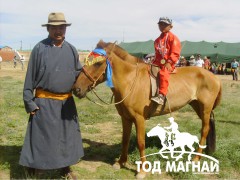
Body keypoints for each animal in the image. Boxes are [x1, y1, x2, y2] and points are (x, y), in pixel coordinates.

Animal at [72, 40, 221, 178]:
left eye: (98, 63)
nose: (76, 89)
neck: (130, 81)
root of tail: (214, 77)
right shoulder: (125, 118)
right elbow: (125, 139)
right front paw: (121, 162)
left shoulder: (139, 118)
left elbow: (141, 142)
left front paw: (142, 170)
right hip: (197, 106)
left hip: (205, 109)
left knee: (205, 130)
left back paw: (196, 158)